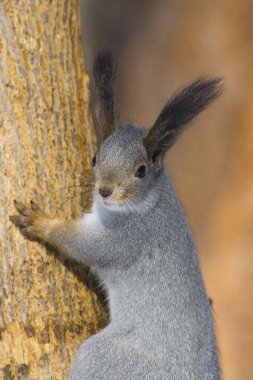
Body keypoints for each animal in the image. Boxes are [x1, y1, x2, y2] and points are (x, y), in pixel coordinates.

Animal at [10, 51, 222, 380]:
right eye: (95, 157)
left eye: (141, 170)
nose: (105, 190)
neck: (148, 202)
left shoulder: (127, 238)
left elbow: (82, 244)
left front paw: (39, 222)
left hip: (103, 359)